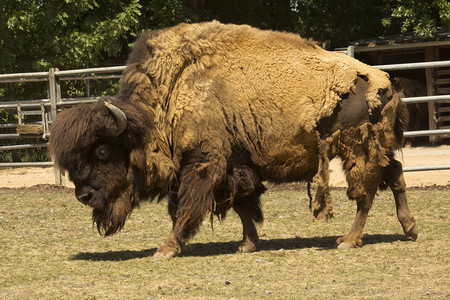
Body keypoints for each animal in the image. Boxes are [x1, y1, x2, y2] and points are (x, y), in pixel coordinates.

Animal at [49, 21, 418, 258]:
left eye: (102, 152)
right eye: (73, 162)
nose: (83, 195)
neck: (173, 92)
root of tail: (386, 82)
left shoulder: (202, 163)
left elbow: (185, 206)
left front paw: (166, 248)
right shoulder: (236, 164)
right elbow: (243, 203)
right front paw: (247, 244)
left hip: (358, 150)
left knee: (366, 193)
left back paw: (348, 240)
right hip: (376, 149)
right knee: (395, 174)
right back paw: (409, 229)